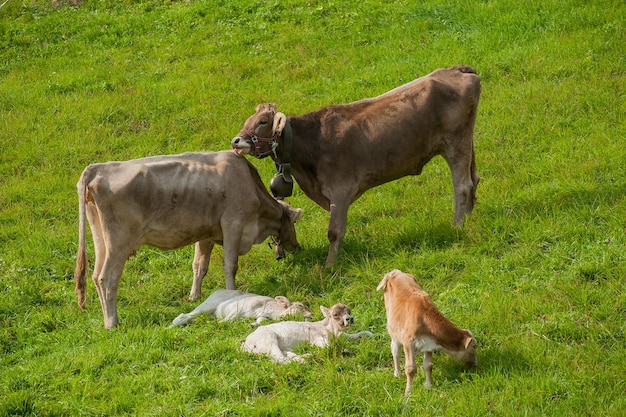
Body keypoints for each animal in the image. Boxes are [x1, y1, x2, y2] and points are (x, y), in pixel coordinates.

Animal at [169, 288, 310, 326]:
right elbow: (230, 318)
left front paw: (251, 325)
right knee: (183, 316)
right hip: (207, 305)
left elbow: (260, 321)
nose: (311, 315)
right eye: (300, 305)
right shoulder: (239, 307)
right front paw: (221, 322)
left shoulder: (263, 316)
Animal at [232, 65, 480, 266]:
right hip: (464, 141)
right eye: (247, 121)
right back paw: (468, 218)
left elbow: (334, 231)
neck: (312, 142)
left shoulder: (340, 189)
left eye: (262, 121)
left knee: (463, 186)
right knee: (474, 179)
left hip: (455, 141)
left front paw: (330, 265)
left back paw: (457, 226)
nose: (236, 141)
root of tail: (456, 69)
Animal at [241, 300, 372, 362]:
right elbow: (330, 347)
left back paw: (306, 356)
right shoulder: (318, 338)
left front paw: (370, 334)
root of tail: (245, 343)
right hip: (268, 340)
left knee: (287, 355)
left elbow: (355, 334)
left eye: (349, 311)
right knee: (280, 359)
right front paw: (347, 350)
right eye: (335, 314)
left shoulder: (340, 335)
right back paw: (307, 358)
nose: (349, 319)